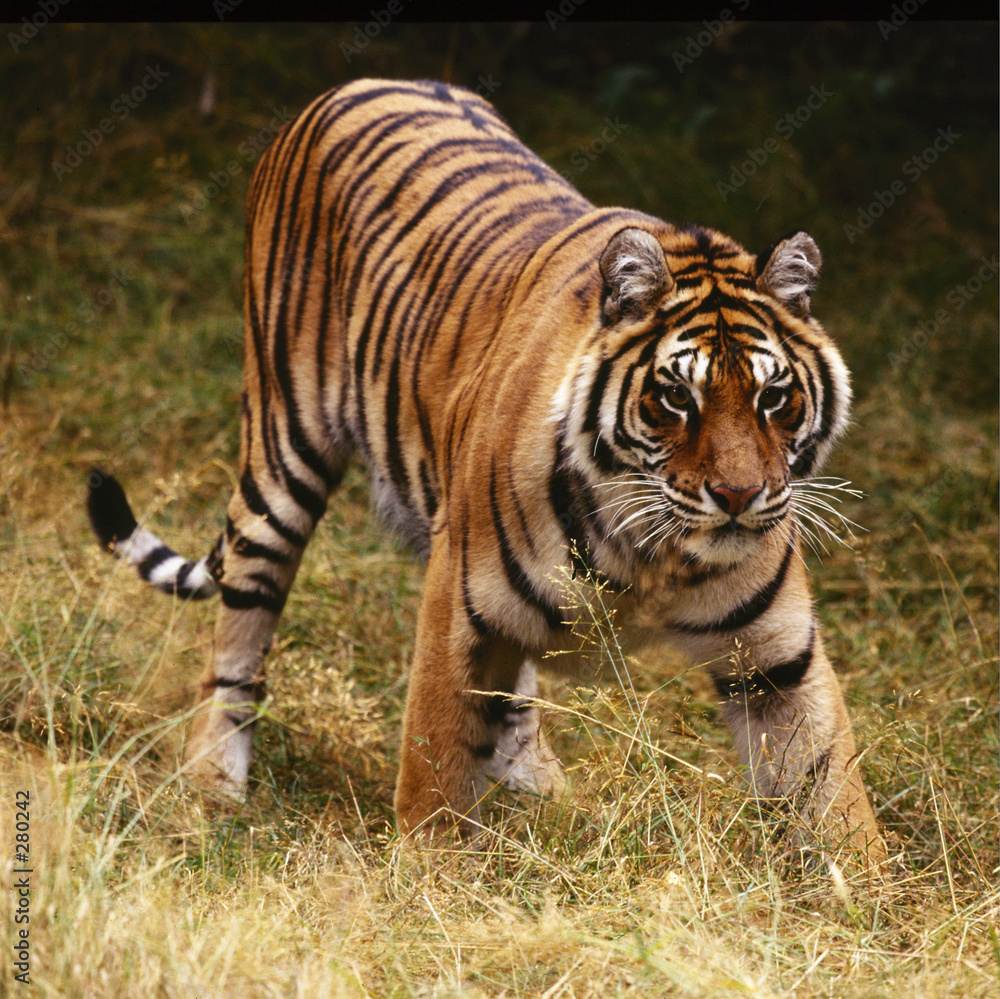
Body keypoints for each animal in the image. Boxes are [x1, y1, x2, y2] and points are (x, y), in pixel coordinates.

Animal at [87, 77, 886, 869]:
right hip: (283, 455)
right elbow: (436, 768)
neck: (650, 553)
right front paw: (431, 877)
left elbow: (831, 790)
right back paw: (213, 784)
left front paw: (865, 891)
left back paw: (542, 788)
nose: (738, 496)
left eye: (773, 397)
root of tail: (357, 84)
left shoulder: (780, 657)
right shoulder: (456, 612)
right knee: (239, 633)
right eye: (675, 397)